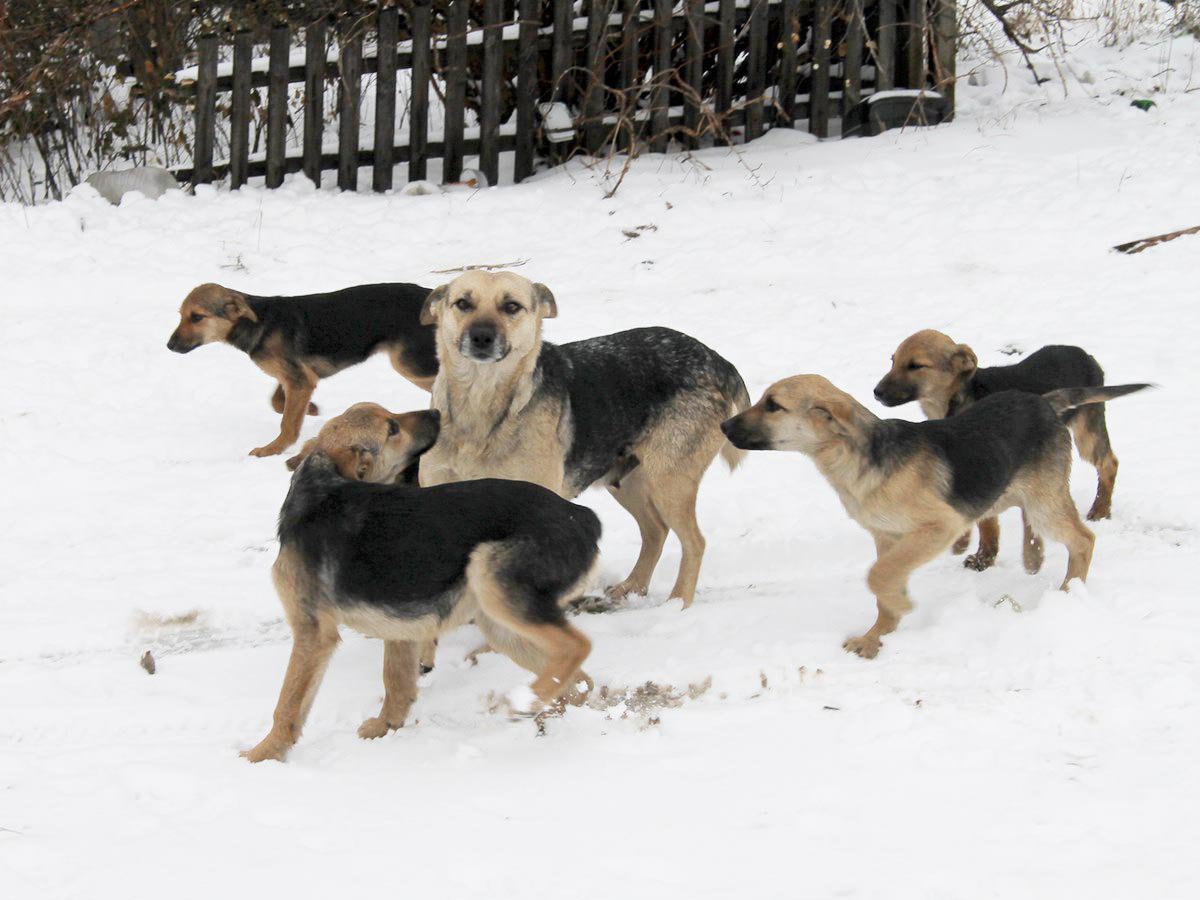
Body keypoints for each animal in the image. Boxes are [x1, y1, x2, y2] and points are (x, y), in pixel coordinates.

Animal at [164, 283, 436, 458]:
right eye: (181, 315)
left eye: (197, 317)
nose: (169, 346)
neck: (257, 324)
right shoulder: (297, 377)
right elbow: (277, 402)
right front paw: (312, 409)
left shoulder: (300, 380)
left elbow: (287, 422)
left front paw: (272, 449)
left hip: (410, 364)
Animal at [242, 405, 600, 763]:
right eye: (393, 428)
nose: (436, 412)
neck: (320, 483)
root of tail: (583, 516)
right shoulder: (397, 625)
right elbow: (397, 682)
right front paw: (384, 727)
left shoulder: (313, 632)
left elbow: (288, 704)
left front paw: (261, 755)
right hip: (500, 624)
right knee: (579, 679)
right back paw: (540, 710)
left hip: (491, 578)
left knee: (576, 647)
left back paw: (523, 703)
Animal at [417, 271, 744, 609]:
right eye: (463, 304)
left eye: (511, 306)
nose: (481, 337)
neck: (480, 406)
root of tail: (718, 360)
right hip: (626, 481)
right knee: (656, 531)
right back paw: (633, 587)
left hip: (668, 479)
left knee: (694, 542)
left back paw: (678, 603)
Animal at [720, 376, 1152, 657]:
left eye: (773, 405)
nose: (723, 425)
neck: (857, 457)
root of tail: (1043, 402)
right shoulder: (887, 538)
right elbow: (882, 584)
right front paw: (877, 637)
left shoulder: (939, 526)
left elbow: (878, 577)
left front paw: (901, 607)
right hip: (1010, 492)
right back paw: (1034, 557)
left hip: (1044, 503)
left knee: (1083, 539)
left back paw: (1068, 593)